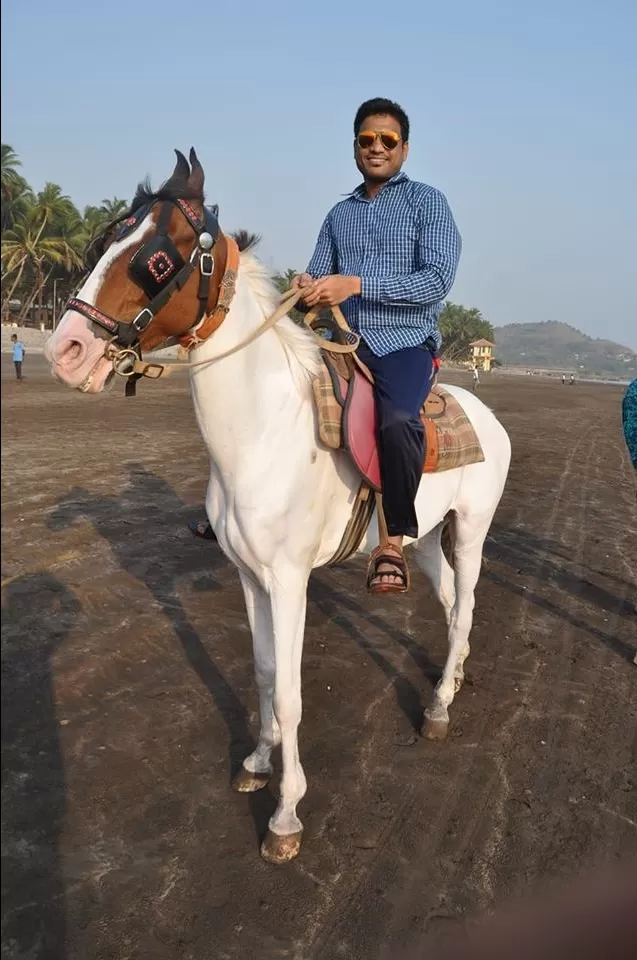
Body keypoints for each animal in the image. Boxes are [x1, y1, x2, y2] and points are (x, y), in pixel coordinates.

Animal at [46, 148, 512, 864]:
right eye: (103, 242)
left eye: (157, 260)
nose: (65, 350)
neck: (263, 433)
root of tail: (485, 413)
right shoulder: (249, 575)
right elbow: (265, 673)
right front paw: (257, 763)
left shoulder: (290, 582)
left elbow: (291, 695)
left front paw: (286, 814)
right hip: (425, 537)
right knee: (447, 599)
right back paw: (451, 679)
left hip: (472, 530)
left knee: (463, 608)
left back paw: (437, 708)